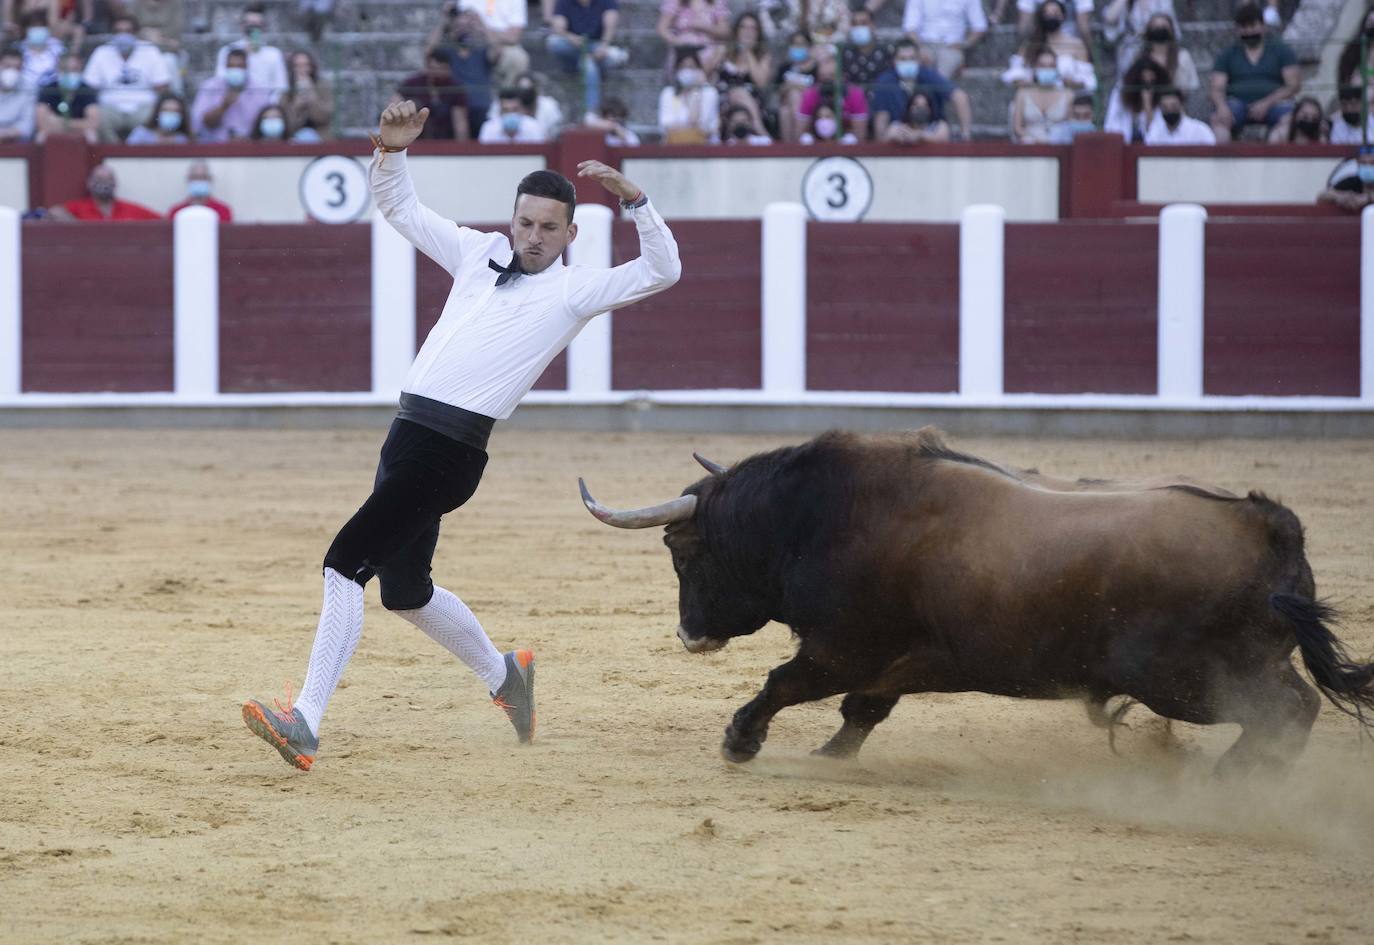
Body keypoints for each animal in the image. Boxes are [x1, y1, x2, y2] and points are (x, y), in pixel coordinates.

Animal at [579, 428, 1374, 774]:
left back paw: (1236, 778)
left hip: (1190, 679)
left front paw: (740, 740)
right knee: (1296, 705)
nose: (688, 635)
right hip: (1233, 668)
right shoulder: (904, 659)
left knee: (1287, 710)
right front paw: (833, 753)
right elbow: (861, 708)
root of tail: (1270, 523)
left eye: (681, 551)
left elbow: (784, 683)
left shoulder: (843, 646)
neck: (817, 515)